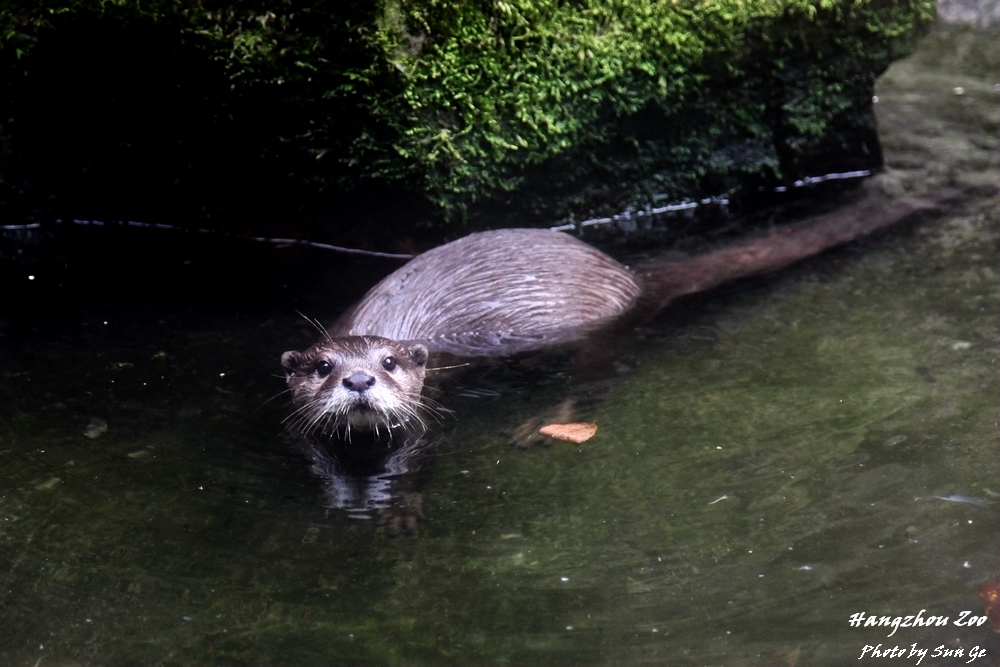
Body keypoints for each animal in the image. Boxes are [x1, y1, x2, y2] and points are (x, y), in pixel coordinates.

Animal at [281, 190, 960, 440]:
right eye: (321, 366)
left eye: (391, 363)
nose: (359, 379)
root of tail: (628, 279)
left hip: (599, 333)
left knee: (597, 379)